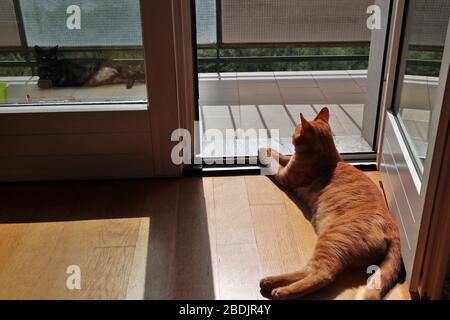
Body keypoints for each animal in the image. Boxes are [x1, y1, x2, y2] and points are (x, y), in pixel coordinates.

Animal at [258, 107, 402, 300]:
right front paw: (266, 148)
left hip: (331, 240)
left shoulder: (285, 176)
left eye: (296, 129)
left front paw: (261, 154)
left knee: (322, 274)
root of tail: (393, 227)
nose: (291, 135)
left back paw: (279, 289)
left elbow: (273, 165)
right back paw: (271, 282)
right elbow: (280, 155)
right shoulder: (290, 162)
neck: (330, 158)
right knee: (309, 270)